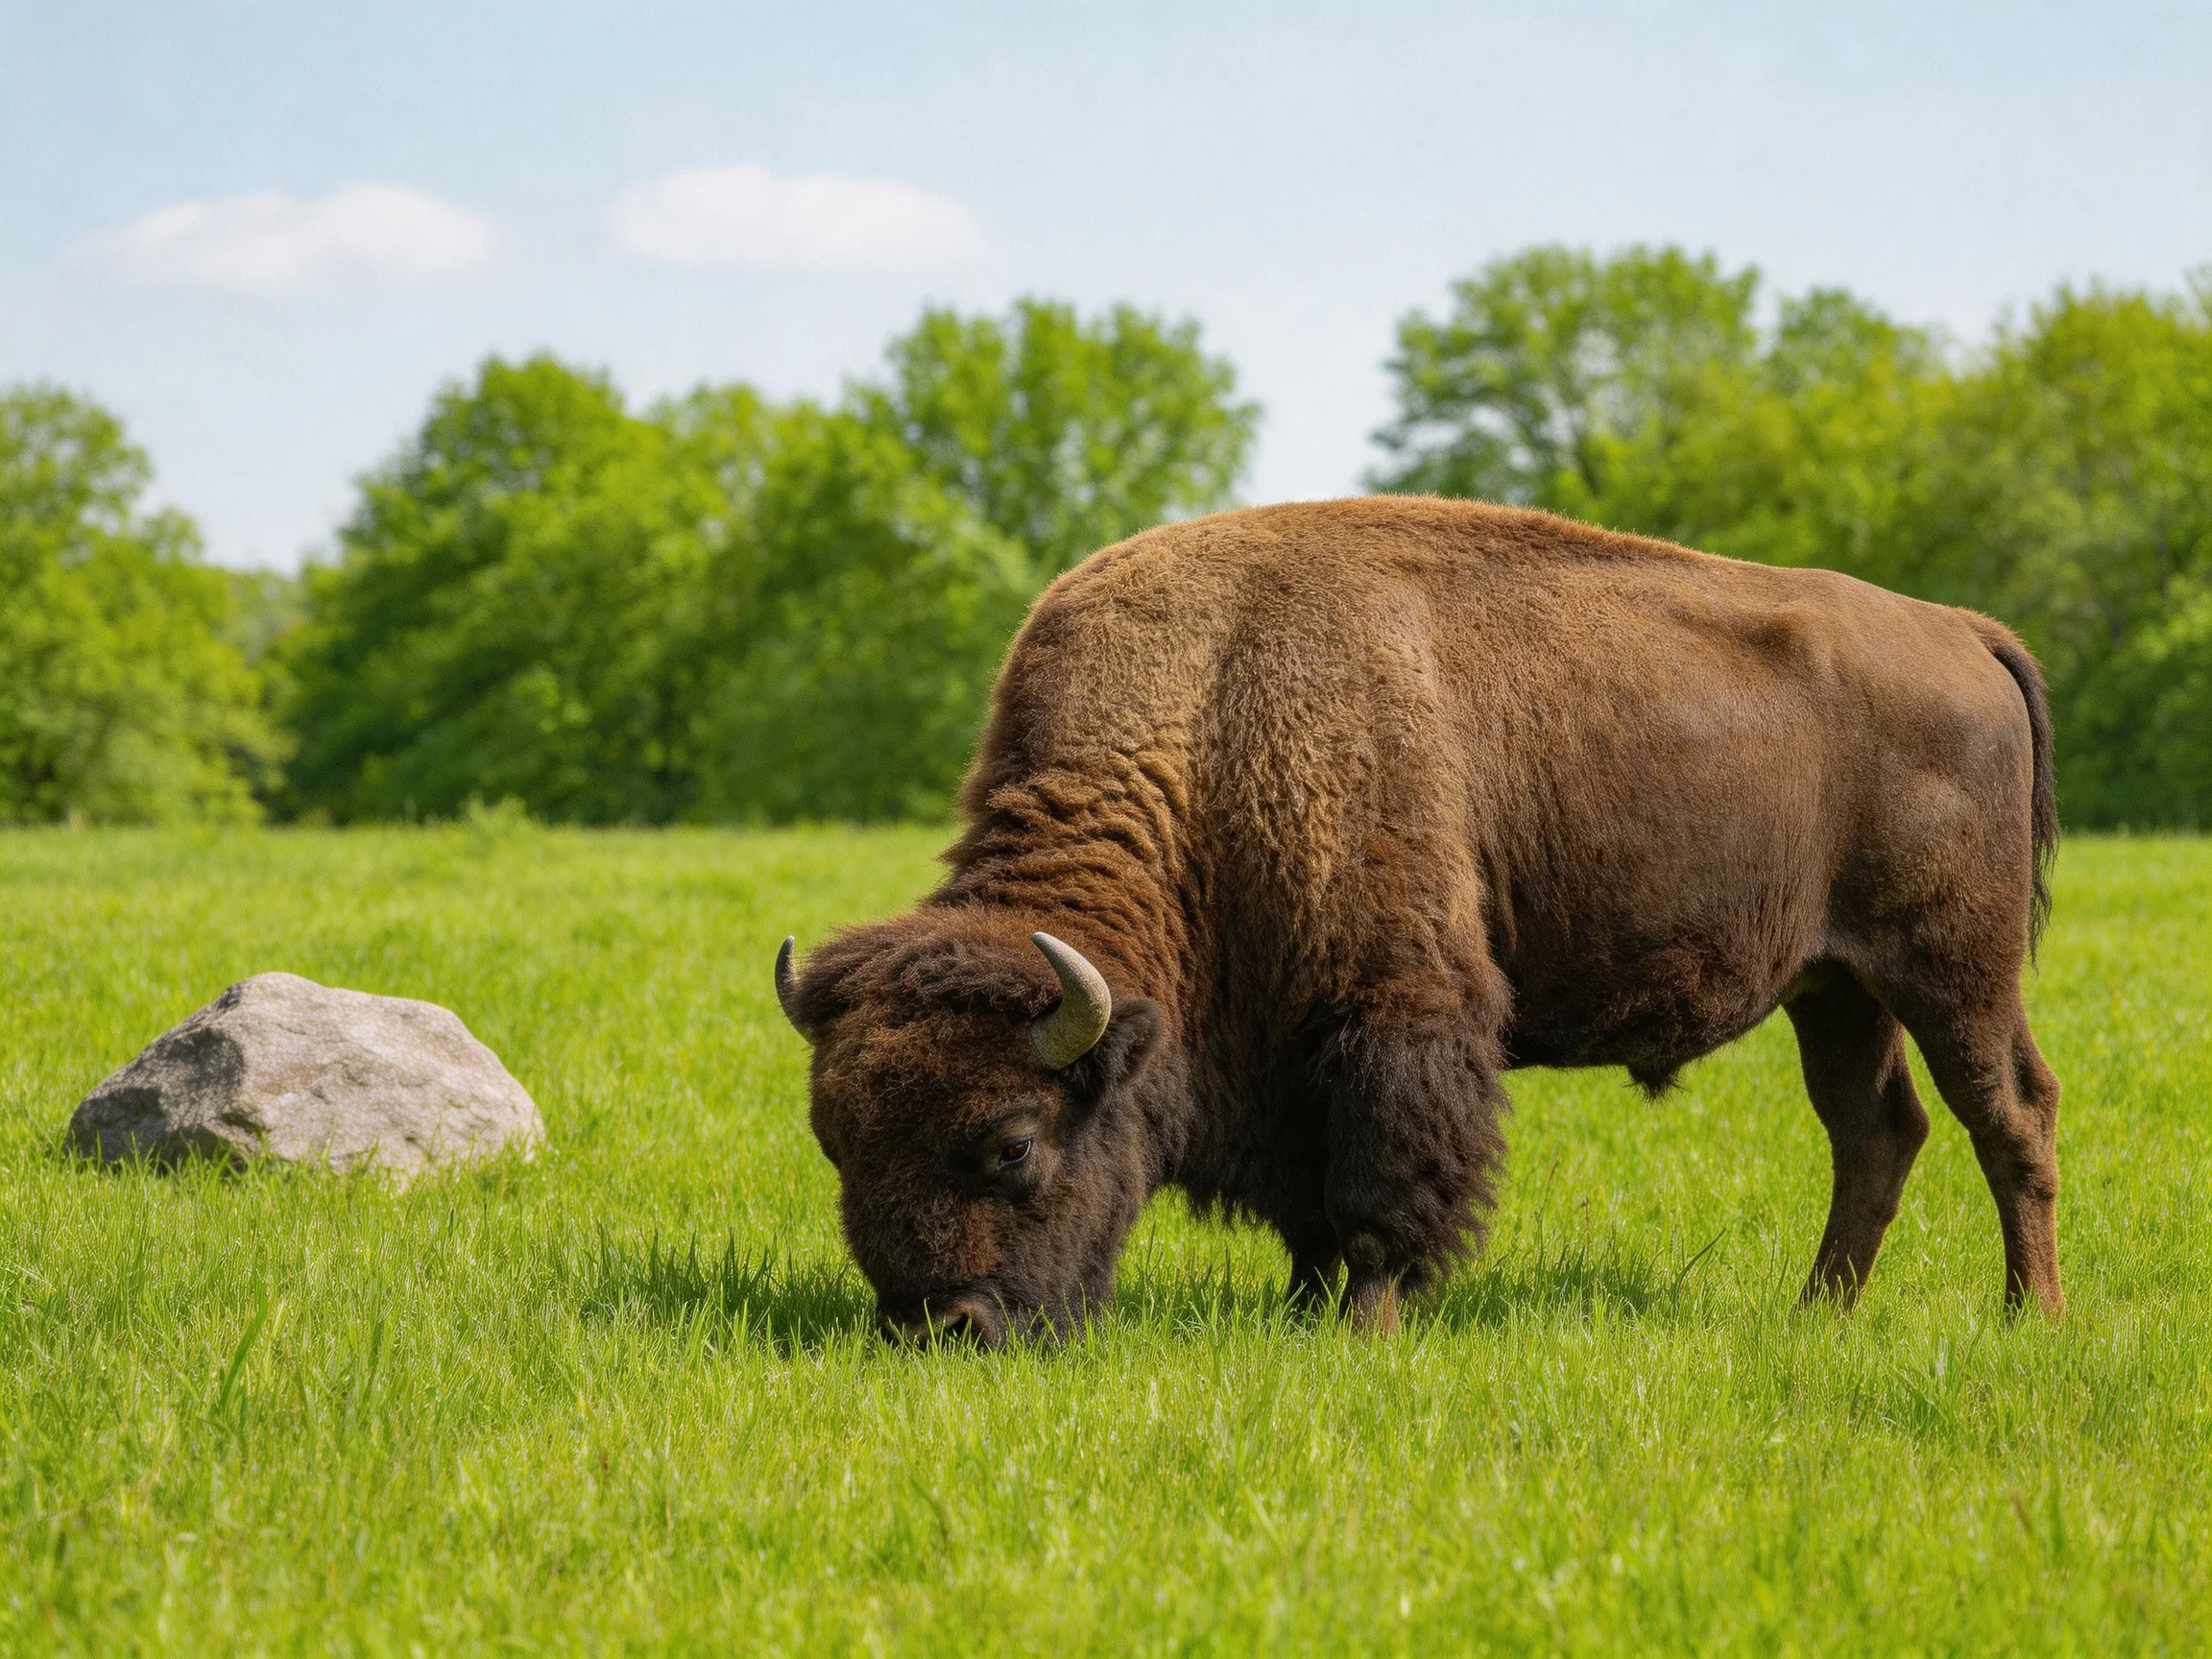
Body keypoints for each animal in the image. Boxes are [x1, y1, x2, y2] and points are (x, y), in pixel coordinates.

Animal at [775, 497, 2063, 1345]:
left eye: (1012, 1143)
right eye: (835, 1141)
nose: (936, 1330)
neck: (1209, 721)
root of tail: (1960, 629)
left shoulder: (1394, 1014)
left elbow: (1384, 1183)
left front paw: (1367, 1326)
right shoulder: (1286, 1054)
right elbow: (1309, 1205)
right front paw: (1301, 1312)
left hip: (1951, 968)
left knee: (2010, 1112)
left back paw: (2027, 1319)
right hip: (1835, 987)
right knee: (1876, 1131)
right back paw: (1818, 1315)